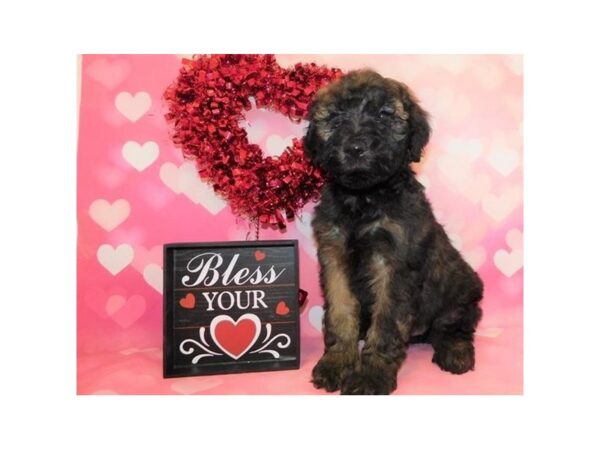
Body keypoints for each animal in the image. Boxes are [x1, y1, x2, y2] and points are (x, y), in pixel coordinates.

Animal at [304, 69, 482, 394]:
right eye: (335, 117)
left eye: (384, 115)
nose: (355, 147)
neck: (364, 198)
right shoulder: (334, 256)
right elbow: (340, 312)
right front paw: (337, 361)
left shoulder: (395, 265)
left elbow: (386, 325)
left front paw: (371, 376)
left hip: (462, 292)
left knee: (455, 326)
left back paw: (456, 352)